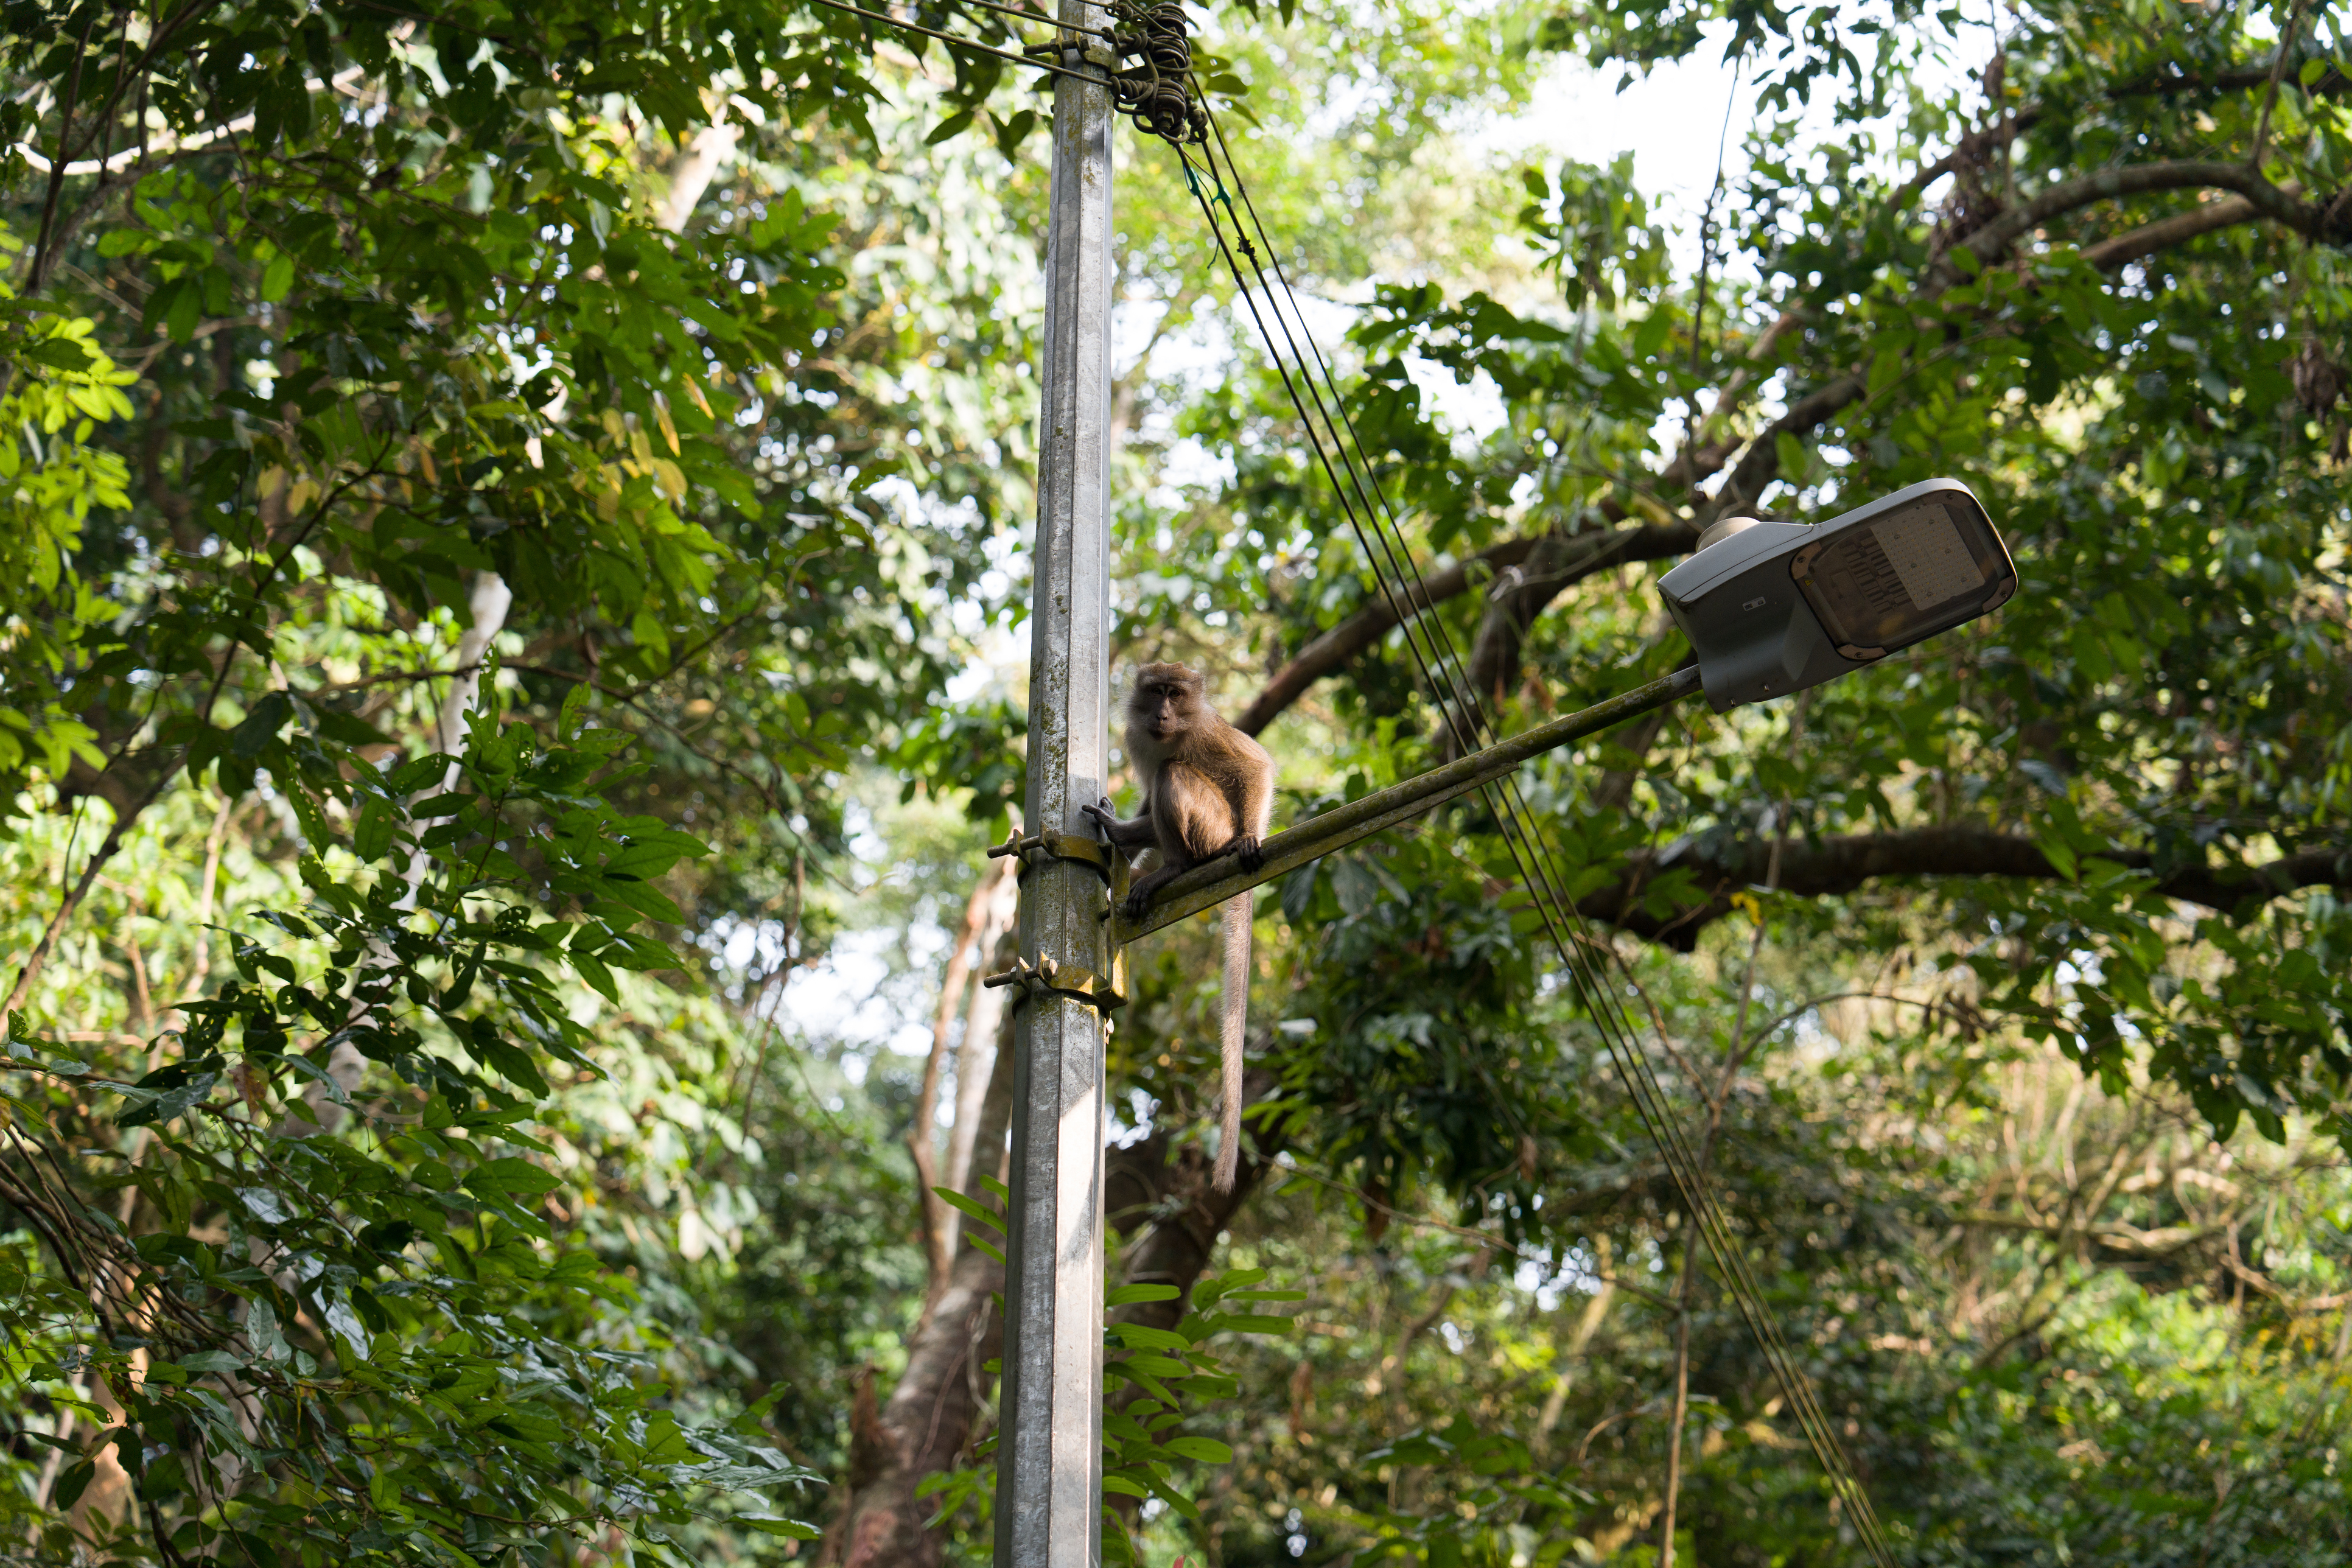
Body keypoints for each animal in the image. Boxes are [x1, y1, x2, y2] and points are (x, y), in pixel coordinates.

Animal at [1084, 662, 1273, 1193]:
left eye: (1175, 694)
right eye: (1156, 693)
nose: (1163, 713)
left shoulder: (1206, 728)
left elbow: (1254, 767)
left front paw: (1251, 838)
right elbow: (1148, 797)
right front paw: (1120, 835)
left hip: (1213, 828)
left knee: (1175, 774)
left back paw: (1180, 864)